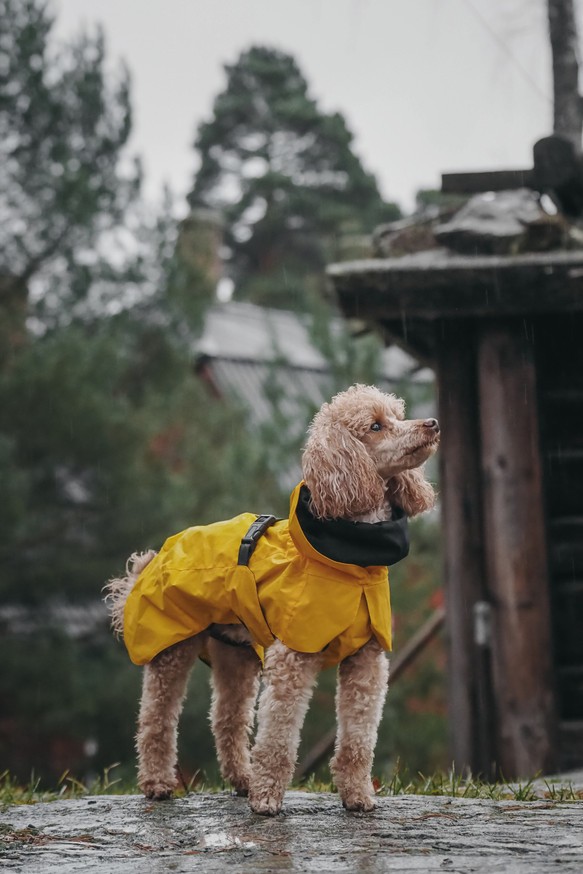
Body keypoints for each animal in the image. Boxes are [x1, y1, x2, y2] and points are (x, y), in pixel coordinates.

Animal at [105, 384, 440, 816]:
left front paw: (358, 796)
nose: (432, 423)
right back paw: (159, 784)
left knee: (227, 719)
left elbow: (358, 738)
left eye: (398, 415)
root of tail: (150, 562)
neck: (352, 559)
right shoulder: (292, 658)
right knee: (155, 720)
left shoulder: (366, 659)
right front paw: (267, 800)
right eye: (375, 426)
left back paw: (243, 780)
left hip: (236, 654)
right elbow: (279, 737)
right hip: (171, 648)